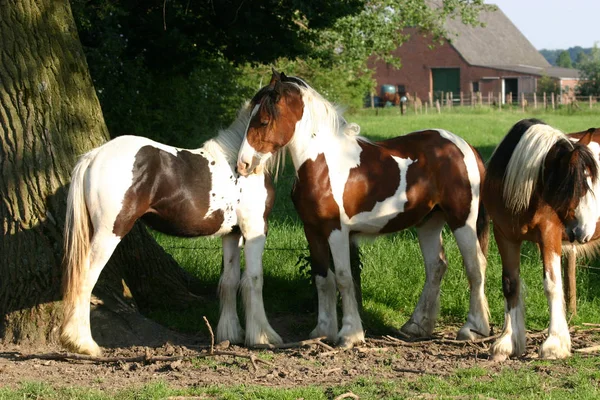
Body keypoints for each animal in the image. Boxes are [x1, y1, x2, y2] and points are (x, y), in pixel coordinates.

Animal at [62, 104, 282, 356]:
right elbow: (254, 280)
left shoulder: (232, 233)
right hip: (109, 233)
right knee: (85, 280)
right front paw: (263, 337)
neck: (240, 162)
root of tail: (94, 156)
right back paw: (84, 344)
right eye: (264, 120)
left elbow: (230, 280)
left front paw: (232, 334)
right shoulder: (255, 229)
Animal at [234, 70, 488, 348]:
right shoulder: (312, 230)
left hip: (462, 219)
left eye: (263, 120)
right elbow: (322, 279)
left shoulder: (336, 230)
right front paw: (323, 330)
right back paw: (416, 326)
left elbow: (344, 278)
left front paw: (350, 334)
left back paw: (473, 329)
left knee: (475, 266)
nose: (242, 164)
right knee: (436, 266)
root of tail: (464, 147)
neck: (323, 165)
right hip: (429, 222)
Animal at [482, 119, 600, 360]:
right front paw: (507, 343)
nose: (584, 231)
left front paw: (554, 344)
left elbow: (552, 284)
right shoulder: (505, 236)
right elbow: (510, 284)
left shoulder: (549, 234)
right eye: (578, 187)